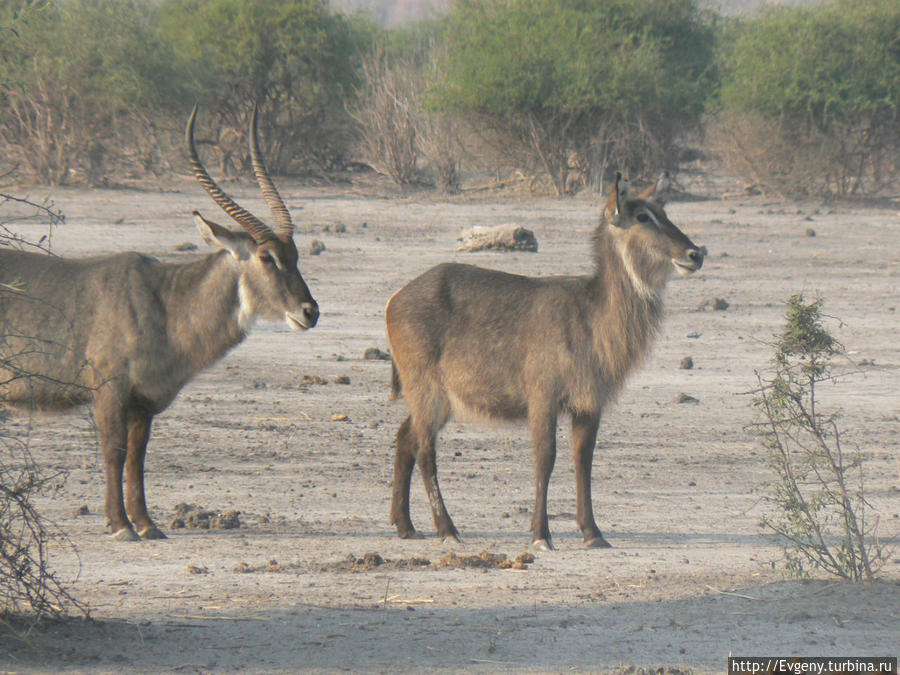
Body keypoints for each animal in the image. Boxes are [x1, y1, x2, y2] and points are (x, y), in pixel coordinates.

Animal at [0, 105, 320, 540]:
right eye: (266, 257)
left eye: (296, 254)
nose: (309, 312)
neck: (166, 301)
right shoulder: (109, 390)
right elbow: (114, 451)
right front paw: (120, 525)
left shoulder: (144, 403)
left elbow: (138, 456)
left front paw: (147, 524)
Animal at [386, 173, 704, 548]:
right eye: (642, 216)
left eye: (664, 212)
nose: (695, 253)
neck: (591, 317)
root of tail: (394, 299)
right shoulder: (542, 396)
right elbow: (545, 457)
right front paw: (541, 535)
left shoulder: (589, 403)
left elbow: (583, 459)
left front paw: (593, 533)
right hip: (427, 389)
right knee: (424, 449)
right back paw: (447, 529)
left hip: (437, 398)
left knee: (405, 437)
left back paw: (405, 525)